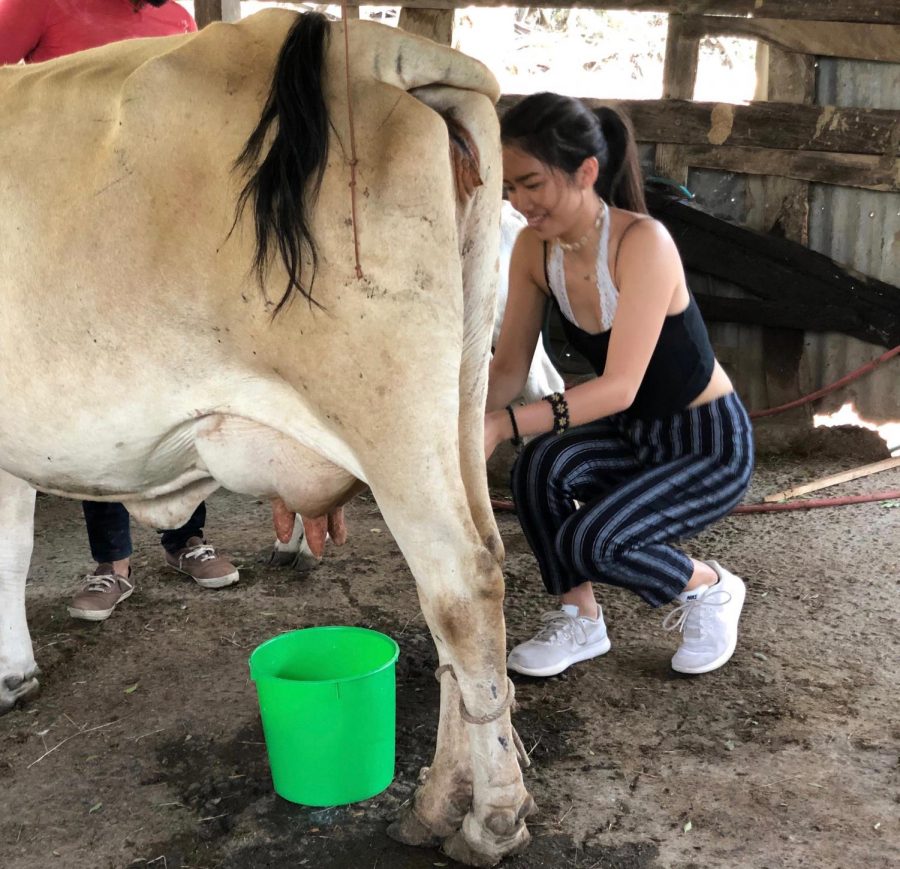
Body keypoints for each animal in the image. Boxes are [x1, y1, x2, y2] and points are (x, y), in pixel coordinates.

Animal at [0, 10, 536, 864]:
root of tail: (391, 52)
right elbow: (13, 548)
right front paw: (13, 672)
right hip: (459, 396)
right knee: (477, 569)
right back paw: (437, 801)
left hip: (385, 416)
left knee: (462, 582)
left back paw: (491, 818)